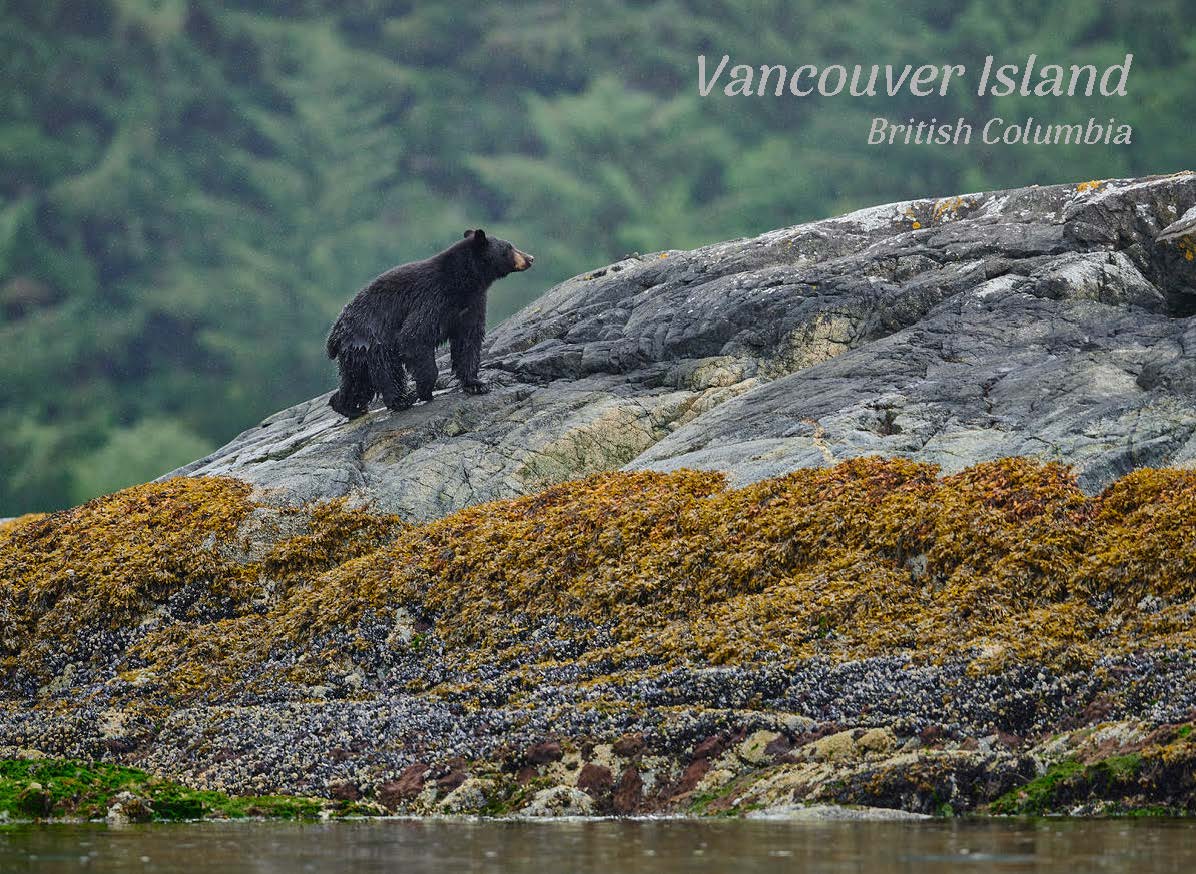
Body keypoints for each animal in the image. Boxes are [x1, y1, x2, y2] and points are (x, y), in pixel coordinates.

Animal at [327, 227, 533, 418]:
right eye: (509, 247)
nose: (530, 258)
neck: (465, 280)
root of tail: (335, 333)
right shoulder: (433, 298)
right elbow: (414, 336)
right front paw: (425, 390)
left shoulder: (472, 304)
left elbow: (468, 340)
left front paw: (476, 384)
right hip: (371, 335)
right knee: (386, 368)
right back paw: (400, 400)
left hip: (356, 349)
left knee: (357, 379)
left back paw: (347, 406)